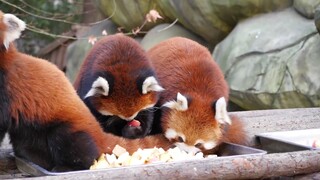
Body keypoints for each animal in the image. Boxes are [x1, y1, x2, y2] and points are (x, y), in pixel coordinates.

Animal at [0, 11, 171, 172]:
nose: (130, 121)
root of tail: (96, 129)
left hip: (68, 126)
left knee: (71, 144)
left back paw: (66, 167)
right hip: (31, 128)